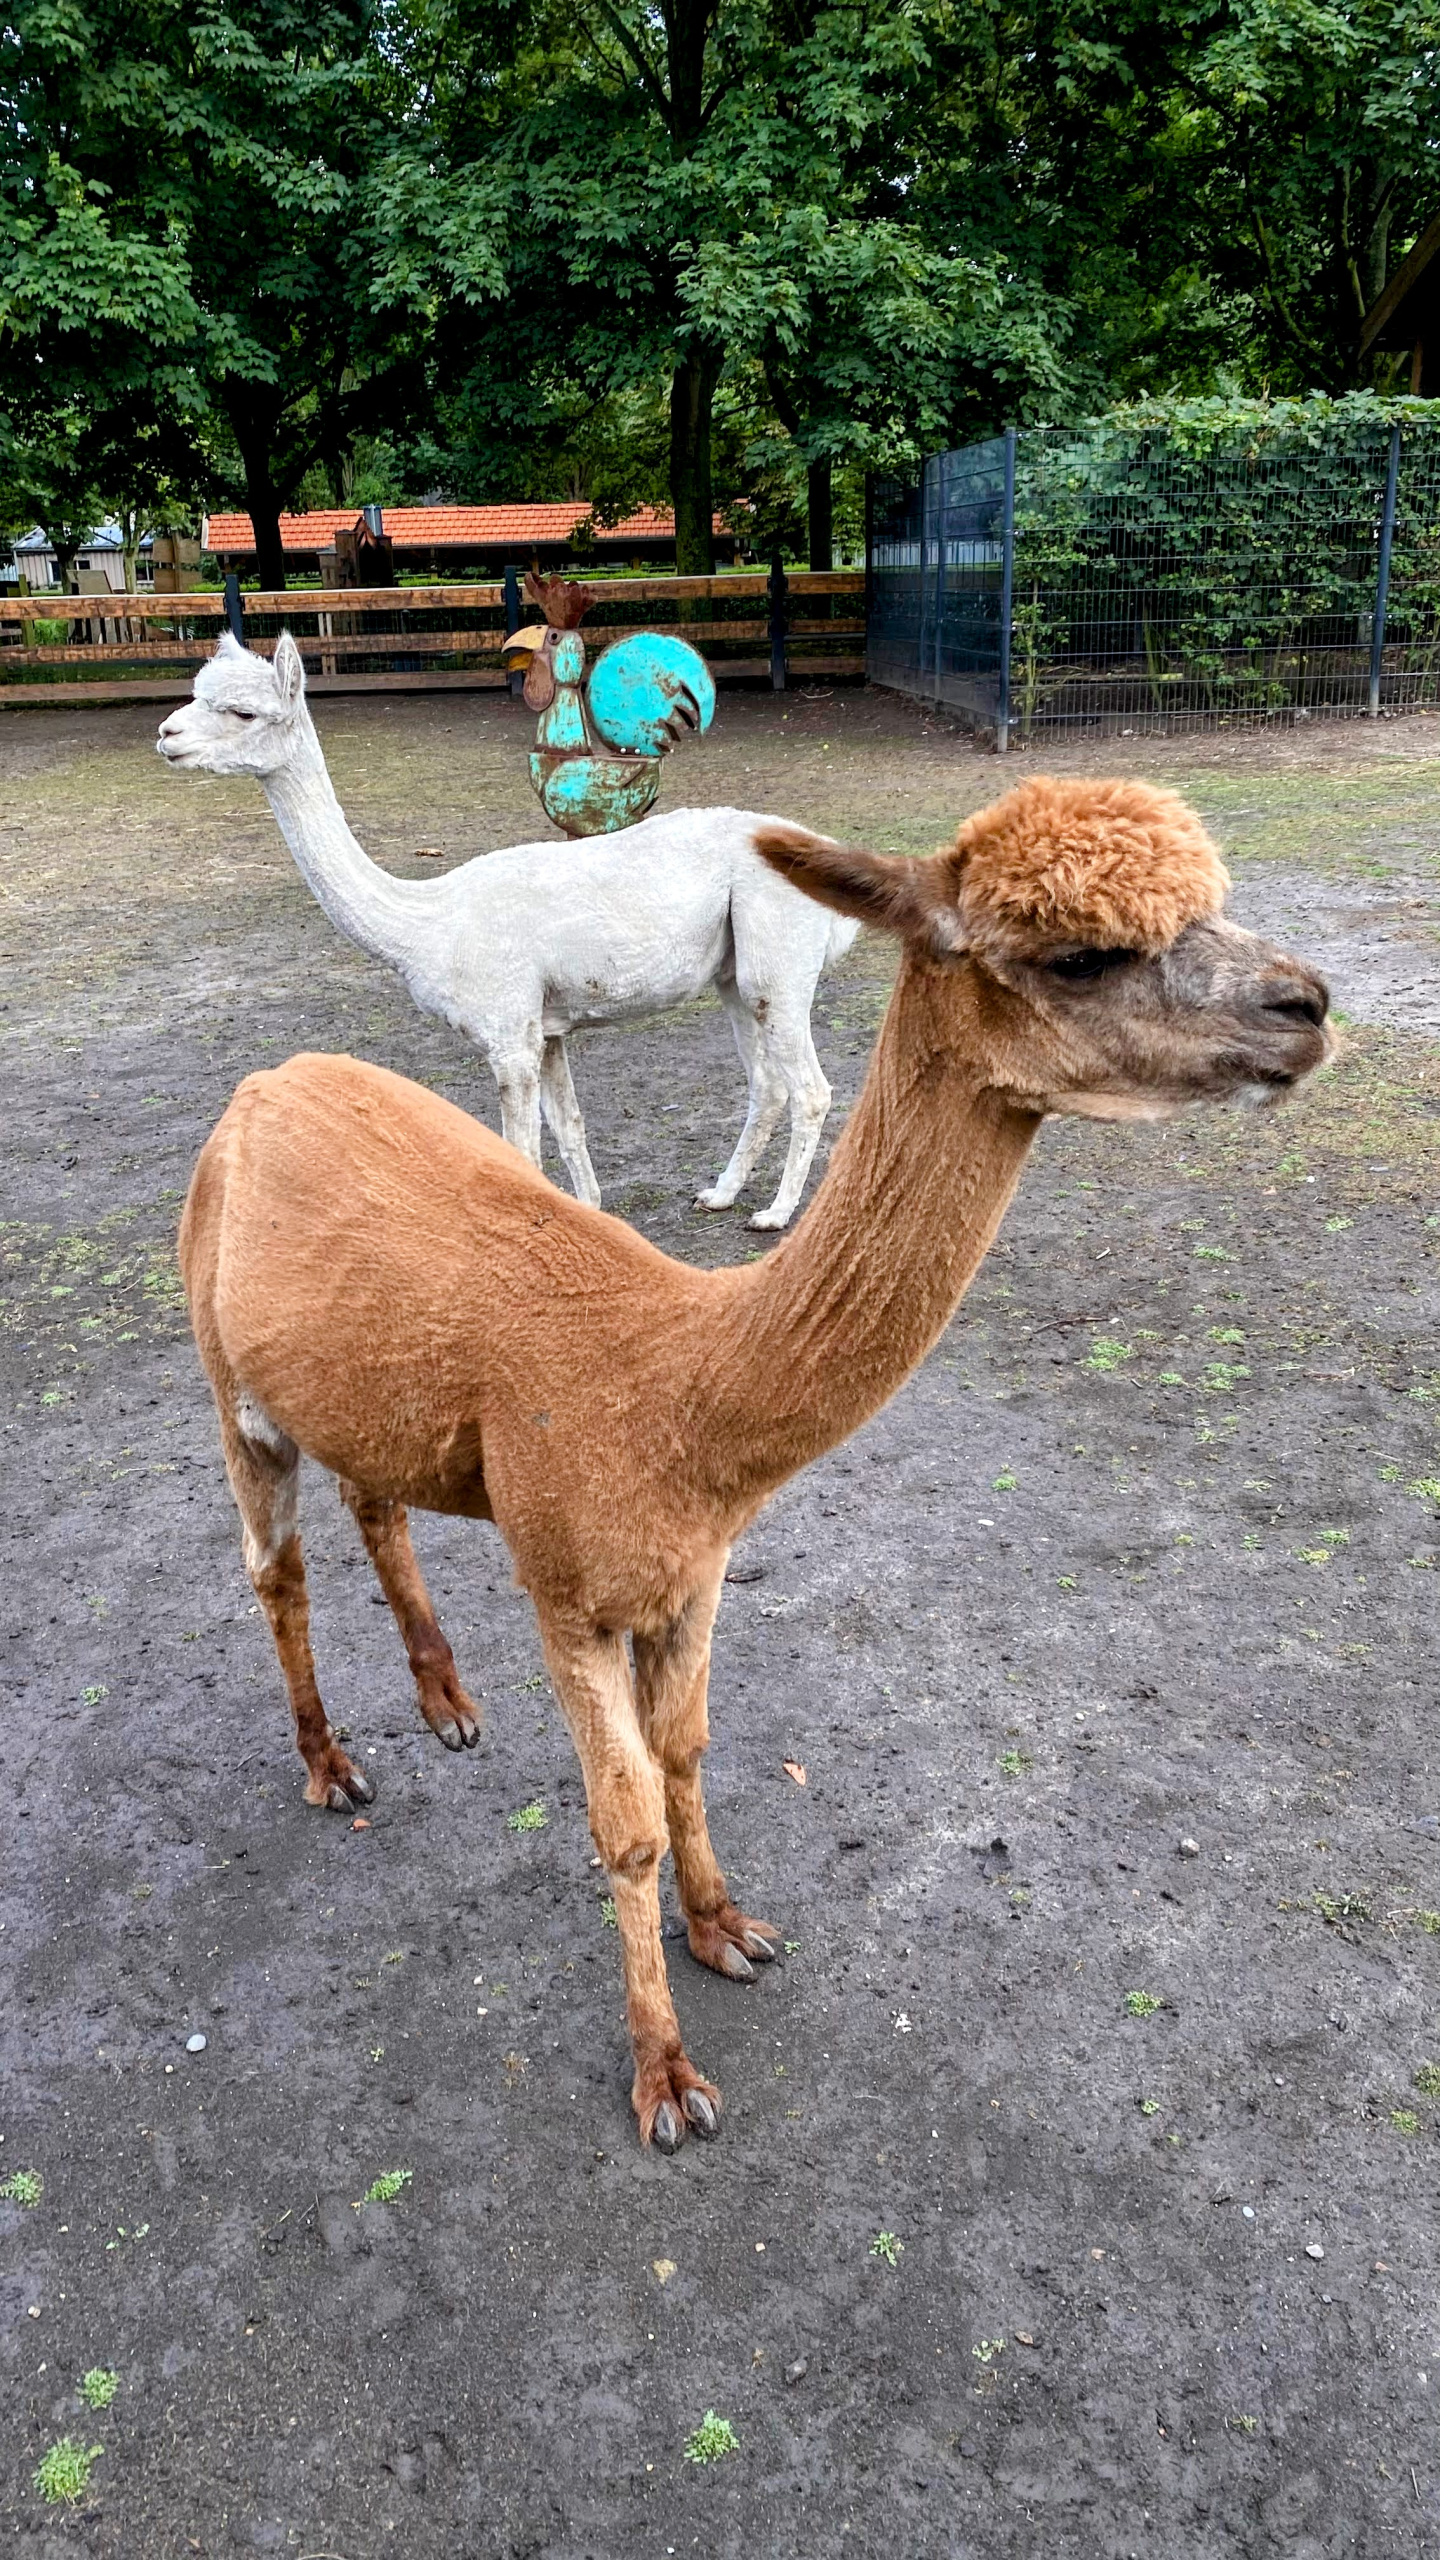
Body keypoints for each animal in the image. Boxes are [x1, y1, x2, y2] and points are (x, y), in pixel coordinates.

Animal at [156, 632, 857, 1230]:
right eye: (195, 692)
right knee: (767, 1085)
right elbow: (570, 1127)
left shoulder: (508, 1036)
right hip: (735, 975)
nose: (166, 733)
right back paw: (720, 1194)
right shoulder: (544, 1029)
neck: (429, 922)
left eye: (243, 712)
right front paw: (592, 1213)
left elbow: (521, 1153)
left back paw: (774, 1214)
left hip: (776, 962)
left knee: (811, 1090)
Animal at [178, 776, 1330, 2152]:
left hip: (359, 1385)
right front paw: (664, 2076)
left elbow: (686, 1751)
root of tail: (262, 1086)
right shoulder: (567, 1585)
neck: (679, 1391)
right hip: (228, 1373)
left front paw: (725, 1925)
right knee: (274, 1568)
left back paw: (446, 1701)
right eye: (1078, 954)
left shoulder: (692, 1572)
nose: (1307, 1004)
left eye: (1211, 900)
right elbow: (622, 1826)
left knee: (372, 1496)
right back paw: (328, 1763)